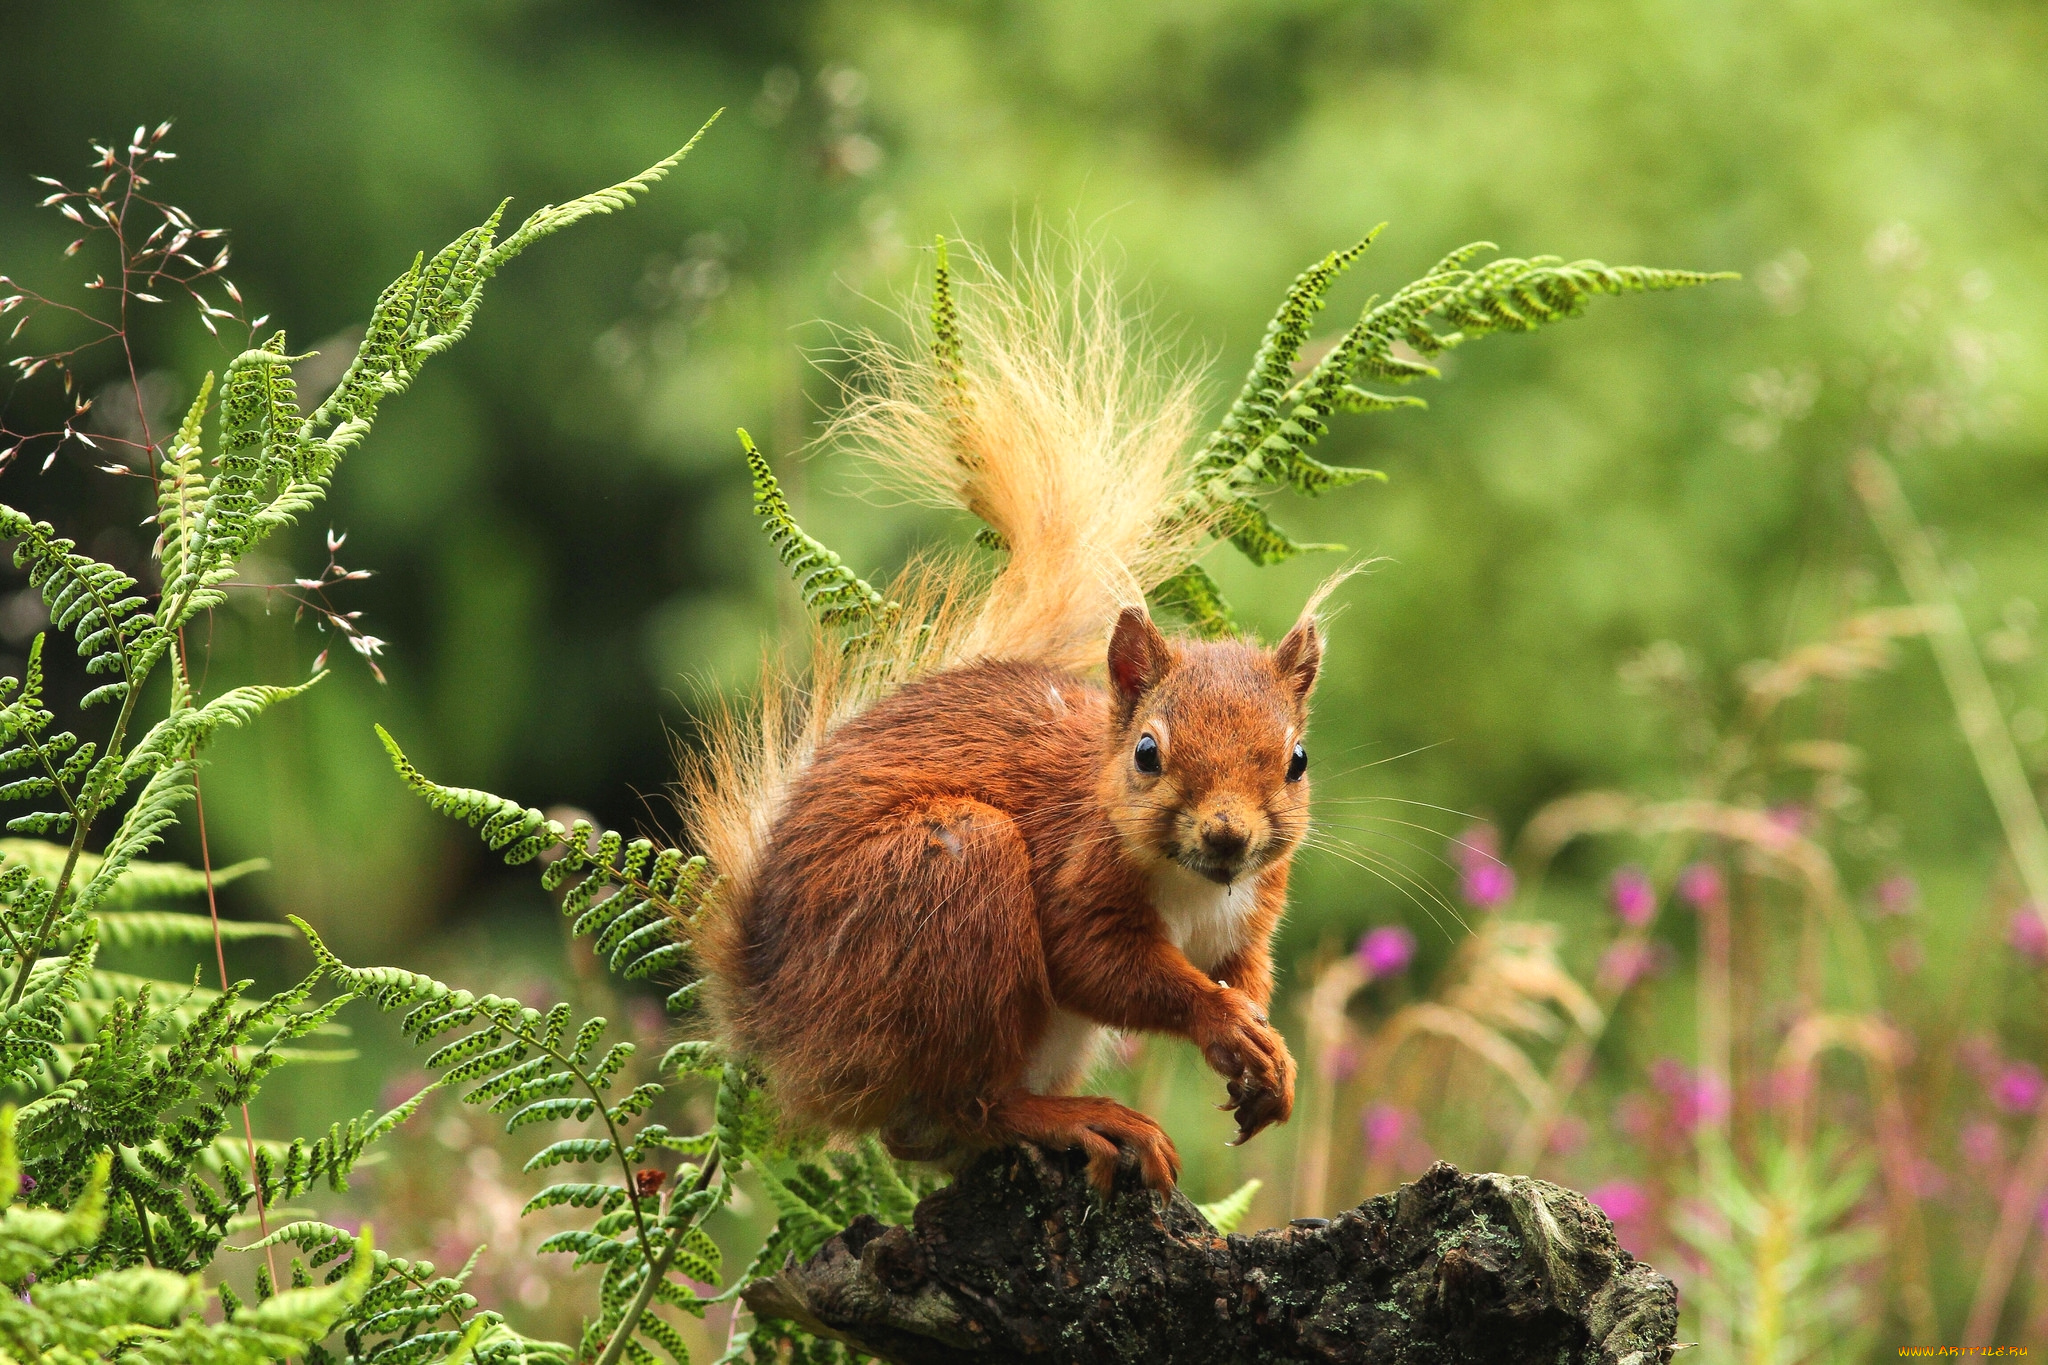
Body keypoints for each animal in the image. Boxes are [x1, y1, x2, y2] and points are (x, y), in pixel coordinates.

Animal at [688, 248, 1327, 1195]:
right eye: (1147, 752)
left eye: (1297, 759)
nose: (1227, 835)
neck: (1194, 886)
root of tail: (779, 1031)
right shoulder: (1074, 873)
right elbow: (1102, 967)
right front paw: (1220, 1021)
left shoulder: (1253, 909)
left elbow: (1245, 974)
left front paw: (1268, 1052)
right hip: (952, 885)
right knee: (968, 1101)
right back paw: (1086, 1119)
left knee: (925, 1133)